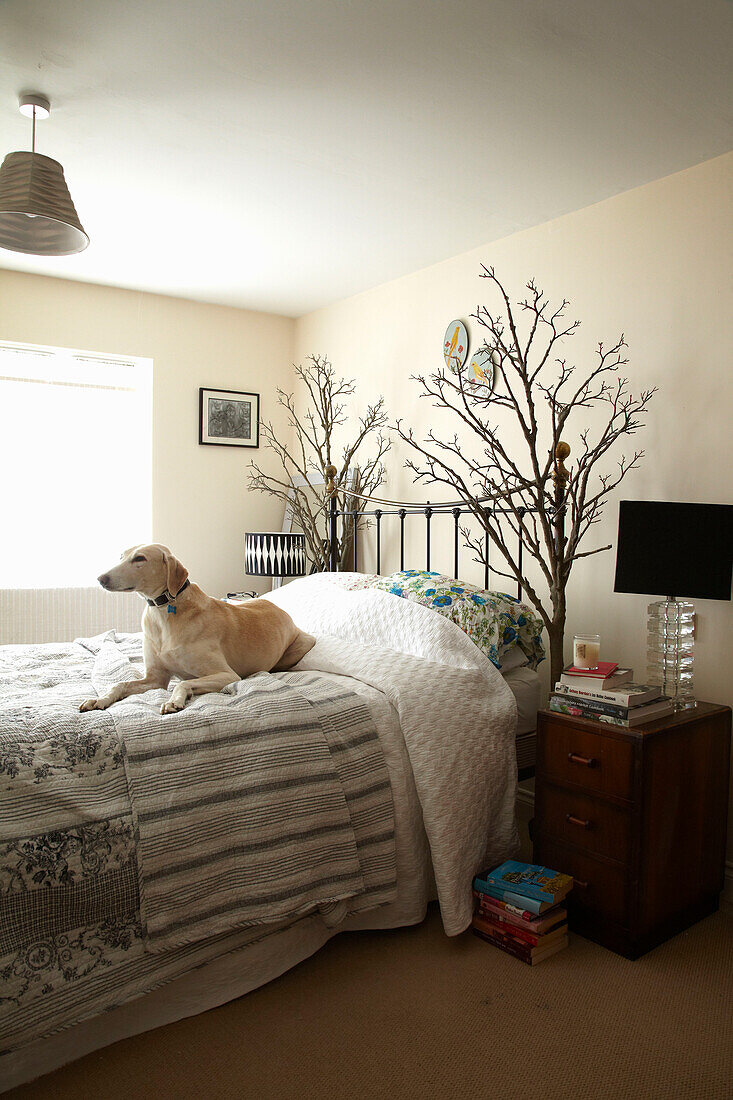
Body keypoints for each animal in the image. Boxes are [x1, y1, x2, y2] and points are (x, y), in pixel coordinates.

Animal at [79, 545, 314, 717]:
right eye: (121, 556)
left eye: (140, 559)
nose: (101, 578)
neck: (164, 612)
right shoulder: (155, 679)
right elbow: (119, 684)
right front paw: (99, 699)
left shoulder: (226, 675)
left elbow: (184, 683)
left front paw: (174, 701)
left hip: (302, 645)